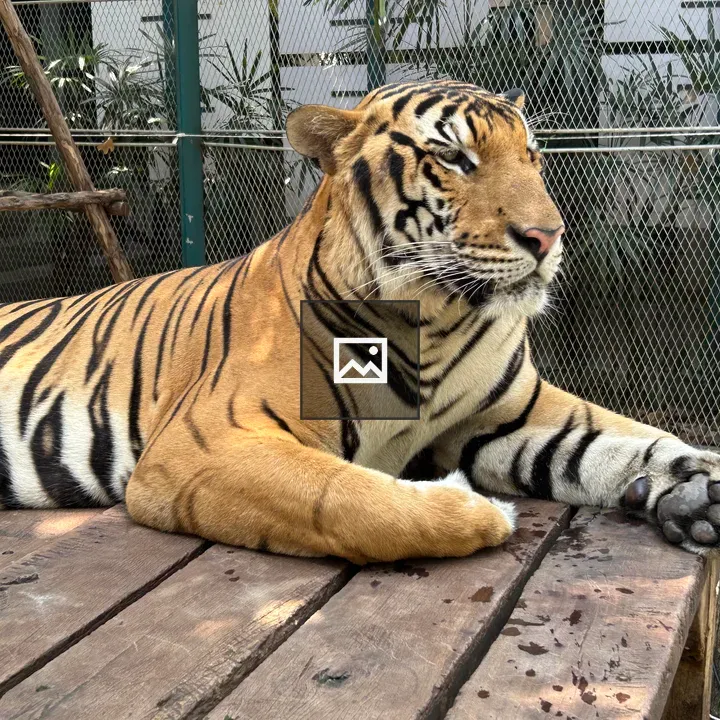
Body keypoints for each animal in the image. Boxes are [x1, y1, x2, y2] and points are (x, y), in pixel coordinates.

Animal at [0, 80, 718, 564]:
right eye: (455, 159)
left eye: (534, 157)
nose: (549, 236)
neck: (439, 321)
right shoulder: (205, 443)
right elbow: (350, 499)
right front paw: (482, 510)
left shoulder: (509, 412)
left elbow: (619, 439)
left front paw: (695, 488)